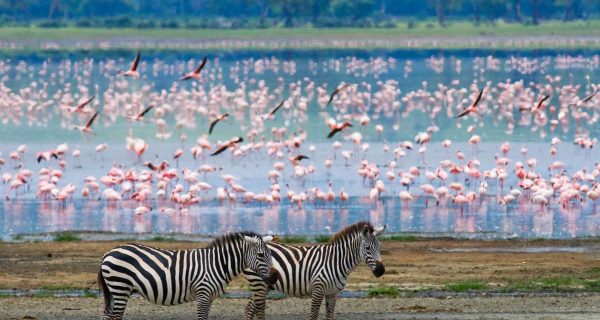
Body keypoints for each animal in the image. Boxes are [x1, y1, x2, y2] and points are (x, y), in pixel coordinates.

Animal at [98, 232, 276, 320]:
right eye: (261, 255)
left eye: (270, 254)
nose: (274, 277)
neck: (217, 263)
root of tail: (108, 252)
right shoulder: (203, 294)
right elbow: (201, 318)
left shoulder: (209, 297)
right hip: (120, 287)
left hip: (116, 290)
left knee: (107, 315)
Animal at [243, 221, 384, 320]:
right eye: (367, 248)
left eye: (380, 247)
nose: (381, 270)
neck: (336, 261)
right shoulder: (318, 290)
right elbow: (313, 315)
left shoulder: (332, 293)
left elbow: (330, 316)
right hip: (259, 283)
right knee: (252, 309)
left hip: (264, 285)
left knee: (249, 308)